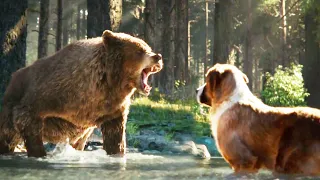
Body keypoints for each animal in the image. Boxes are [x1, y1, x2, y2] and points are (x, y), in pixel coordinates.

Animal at [0, 30, 162, 157]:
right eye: (139, 50)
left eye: (148, 47)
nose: (158, 56)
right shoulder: (50, 95)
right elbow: (28, 118)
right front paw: (39, 154)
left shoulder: (112, 109)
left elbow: (115, 136)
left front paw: (117, 152)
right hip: (10, 105)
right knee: (7, 136)